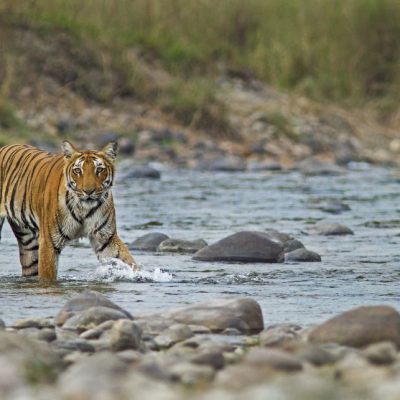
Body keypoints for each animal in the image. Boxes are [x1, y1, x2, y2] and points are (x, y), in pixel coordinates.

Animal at [0, 142, 138, 280]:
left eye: (99, 170)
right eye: (77, 170)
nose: (88, 191)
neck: (83, 208)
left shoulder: (106, 238)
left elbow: (126, 261)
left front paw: (139, 276)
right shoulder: (49, 242)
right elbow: (47, 275)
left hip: (27, 239)